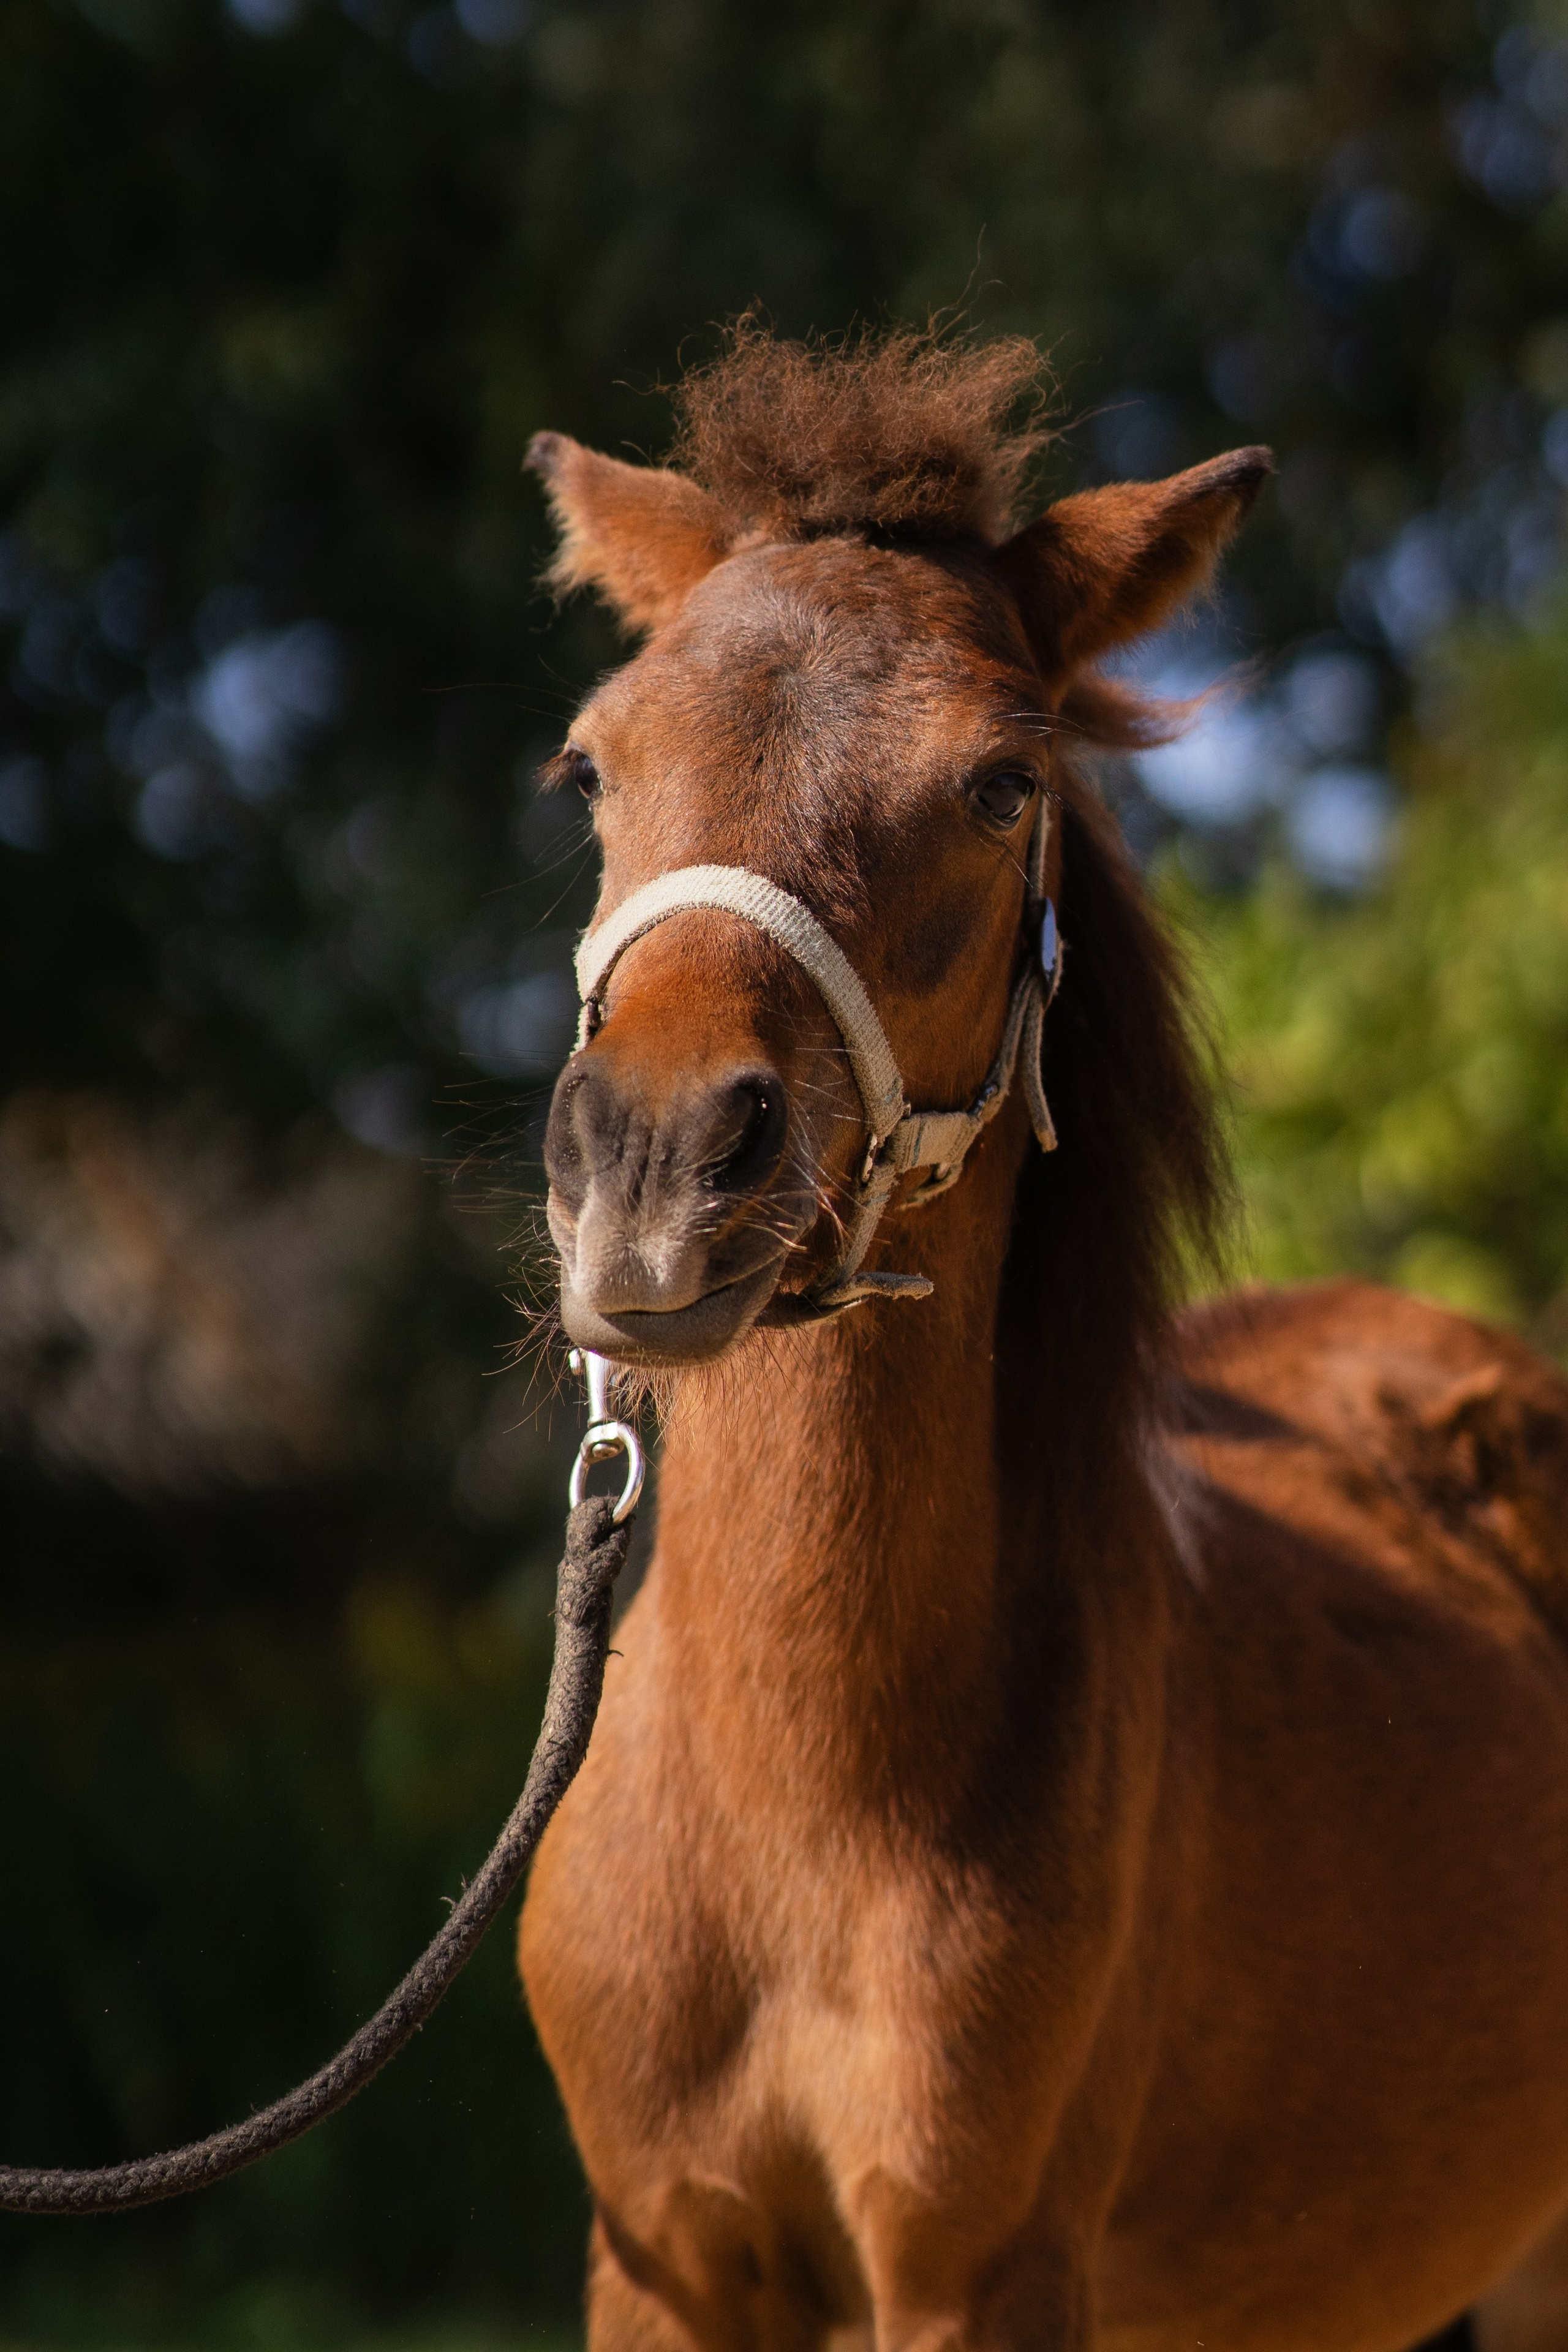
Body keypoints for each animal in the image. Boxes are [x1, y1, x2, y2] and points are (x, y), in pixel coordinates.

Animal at [515, 323, 1568, 2352]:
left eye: (1003, 786)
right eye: (593, 763)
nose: (655, 1169)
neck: (804, 1801)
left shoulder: (978, 2275)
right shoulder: (655, 2255)